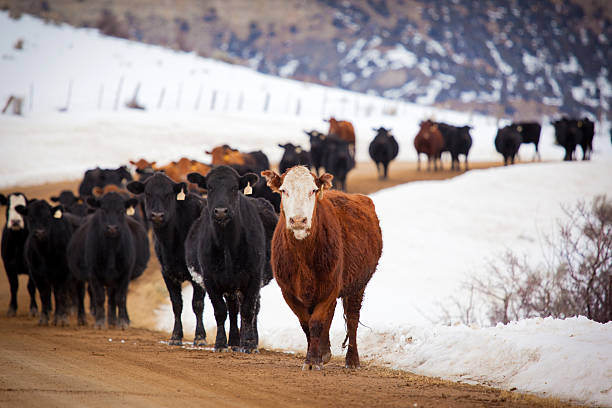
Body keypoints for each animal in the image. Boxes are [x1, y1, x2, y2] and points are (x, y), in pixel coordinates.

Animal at [67, 193, 149, 330]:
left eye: (121, 210)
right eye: (103, 209)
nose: (112, 228)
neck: (111, 250)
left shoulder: (125, 274)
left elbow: (120, 298)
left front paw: (122, 323)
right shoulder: (93, 273)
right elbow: (99, 297)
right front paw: (100, 323)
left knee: (112, 297)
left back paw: (112, 320)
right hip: (77, 276)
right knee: (81, 294)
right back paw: (82, 319)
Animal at [126, 174, 208, 346]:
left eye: (169, 194)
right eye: (148, 193)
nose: (157, 215)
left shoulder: (198, 275)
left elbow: (197, 304)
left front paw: (200, 337)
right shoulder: (167, 273)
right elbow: (177, 304)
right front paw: (176, 336)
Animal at [184, 165, 274, 350]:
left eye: (234, 188)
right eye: (209, 187)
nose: (220, 211)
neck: (227, 245)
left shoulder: (254, 277)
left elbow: (248, 310)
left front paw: (249, 343)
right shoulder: (210, 278)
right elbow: (220, 311)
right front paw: (220, 343)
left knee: (250, 309)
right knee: (232, 310)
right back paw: (233, 341)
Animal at [262, 166, 382, 370]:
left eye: (313, 190)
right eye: (284, 190)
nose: (298, 220)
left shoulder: (330, 286)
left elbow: (317, 322)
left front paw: (313, 361)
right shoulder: (288, 292)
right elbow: (306, 324)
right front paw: (315, 357)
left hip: (358, 285)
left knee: (352, 318)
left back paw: (352, 360)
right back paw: (325, 352)